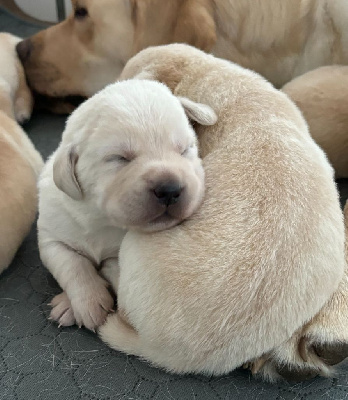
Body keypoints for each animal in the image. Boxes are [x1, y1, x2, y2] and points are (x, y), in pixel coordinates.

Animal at [38, 79, 218, 332]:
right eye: (119, 158)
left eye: (185, 149)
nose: (170, 189)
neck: (100, 219)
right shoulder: (51, 235)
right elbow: (72, 263)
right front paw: (89, 304)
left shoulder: (118, 253)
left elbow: (113, 268)